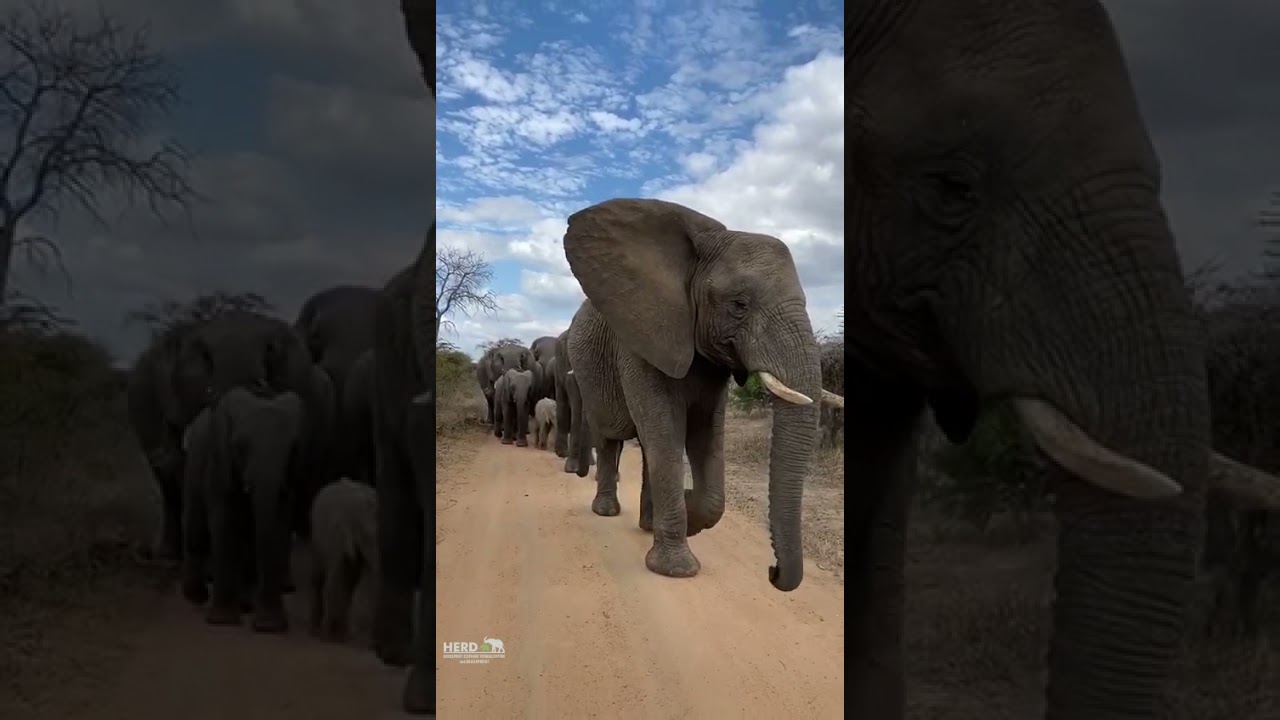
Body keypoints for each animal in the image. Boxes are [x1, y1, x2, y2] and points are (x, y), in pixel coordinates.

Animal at [179, 387, 307, 633]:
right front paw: (222, 622)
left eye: (294, 448)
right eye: (239, 446)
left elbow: (275, 527)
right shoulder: (219, 462)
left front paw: (269, 627)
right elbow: (225, 523)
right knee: (196, 530)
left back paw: (246, 605)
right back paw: (196, 597)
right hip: (194, 463)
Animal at [308, 477, 379, 642]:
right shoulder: (337, 536)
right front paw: (325, 635)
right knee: (321, 576)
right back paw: (318, 631)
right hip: (320, 535)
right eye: (367, 536)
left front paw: (341, 635)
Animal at [563, 198, 840, 586]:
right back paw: (606, 512)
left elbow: (704, 434)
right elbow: (666, 429)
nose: (773, 571)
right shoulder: (642, 340)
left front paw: (688, 510)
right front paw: (675, 568)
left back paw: (648, 523)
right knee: (609, 439)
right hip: (588, 374)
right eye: (739, 304)